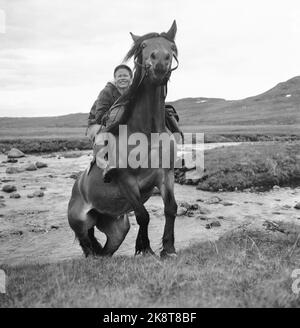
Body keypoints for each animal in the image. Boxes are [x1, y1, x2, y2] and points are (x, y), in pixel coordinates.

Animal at [67, 20, 178, 258]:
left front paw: (168, 248)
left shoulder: (166, 175)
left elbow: (171, 209)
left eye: (171, 46)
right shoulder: (126, 181)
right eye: (143, 45)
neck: (147, 133)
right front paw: (146, 249)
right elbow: (143, 215)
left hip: (116, 228)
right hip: (80, 225)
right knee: (88, 247)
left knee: (105, 250)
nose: (160, 62)